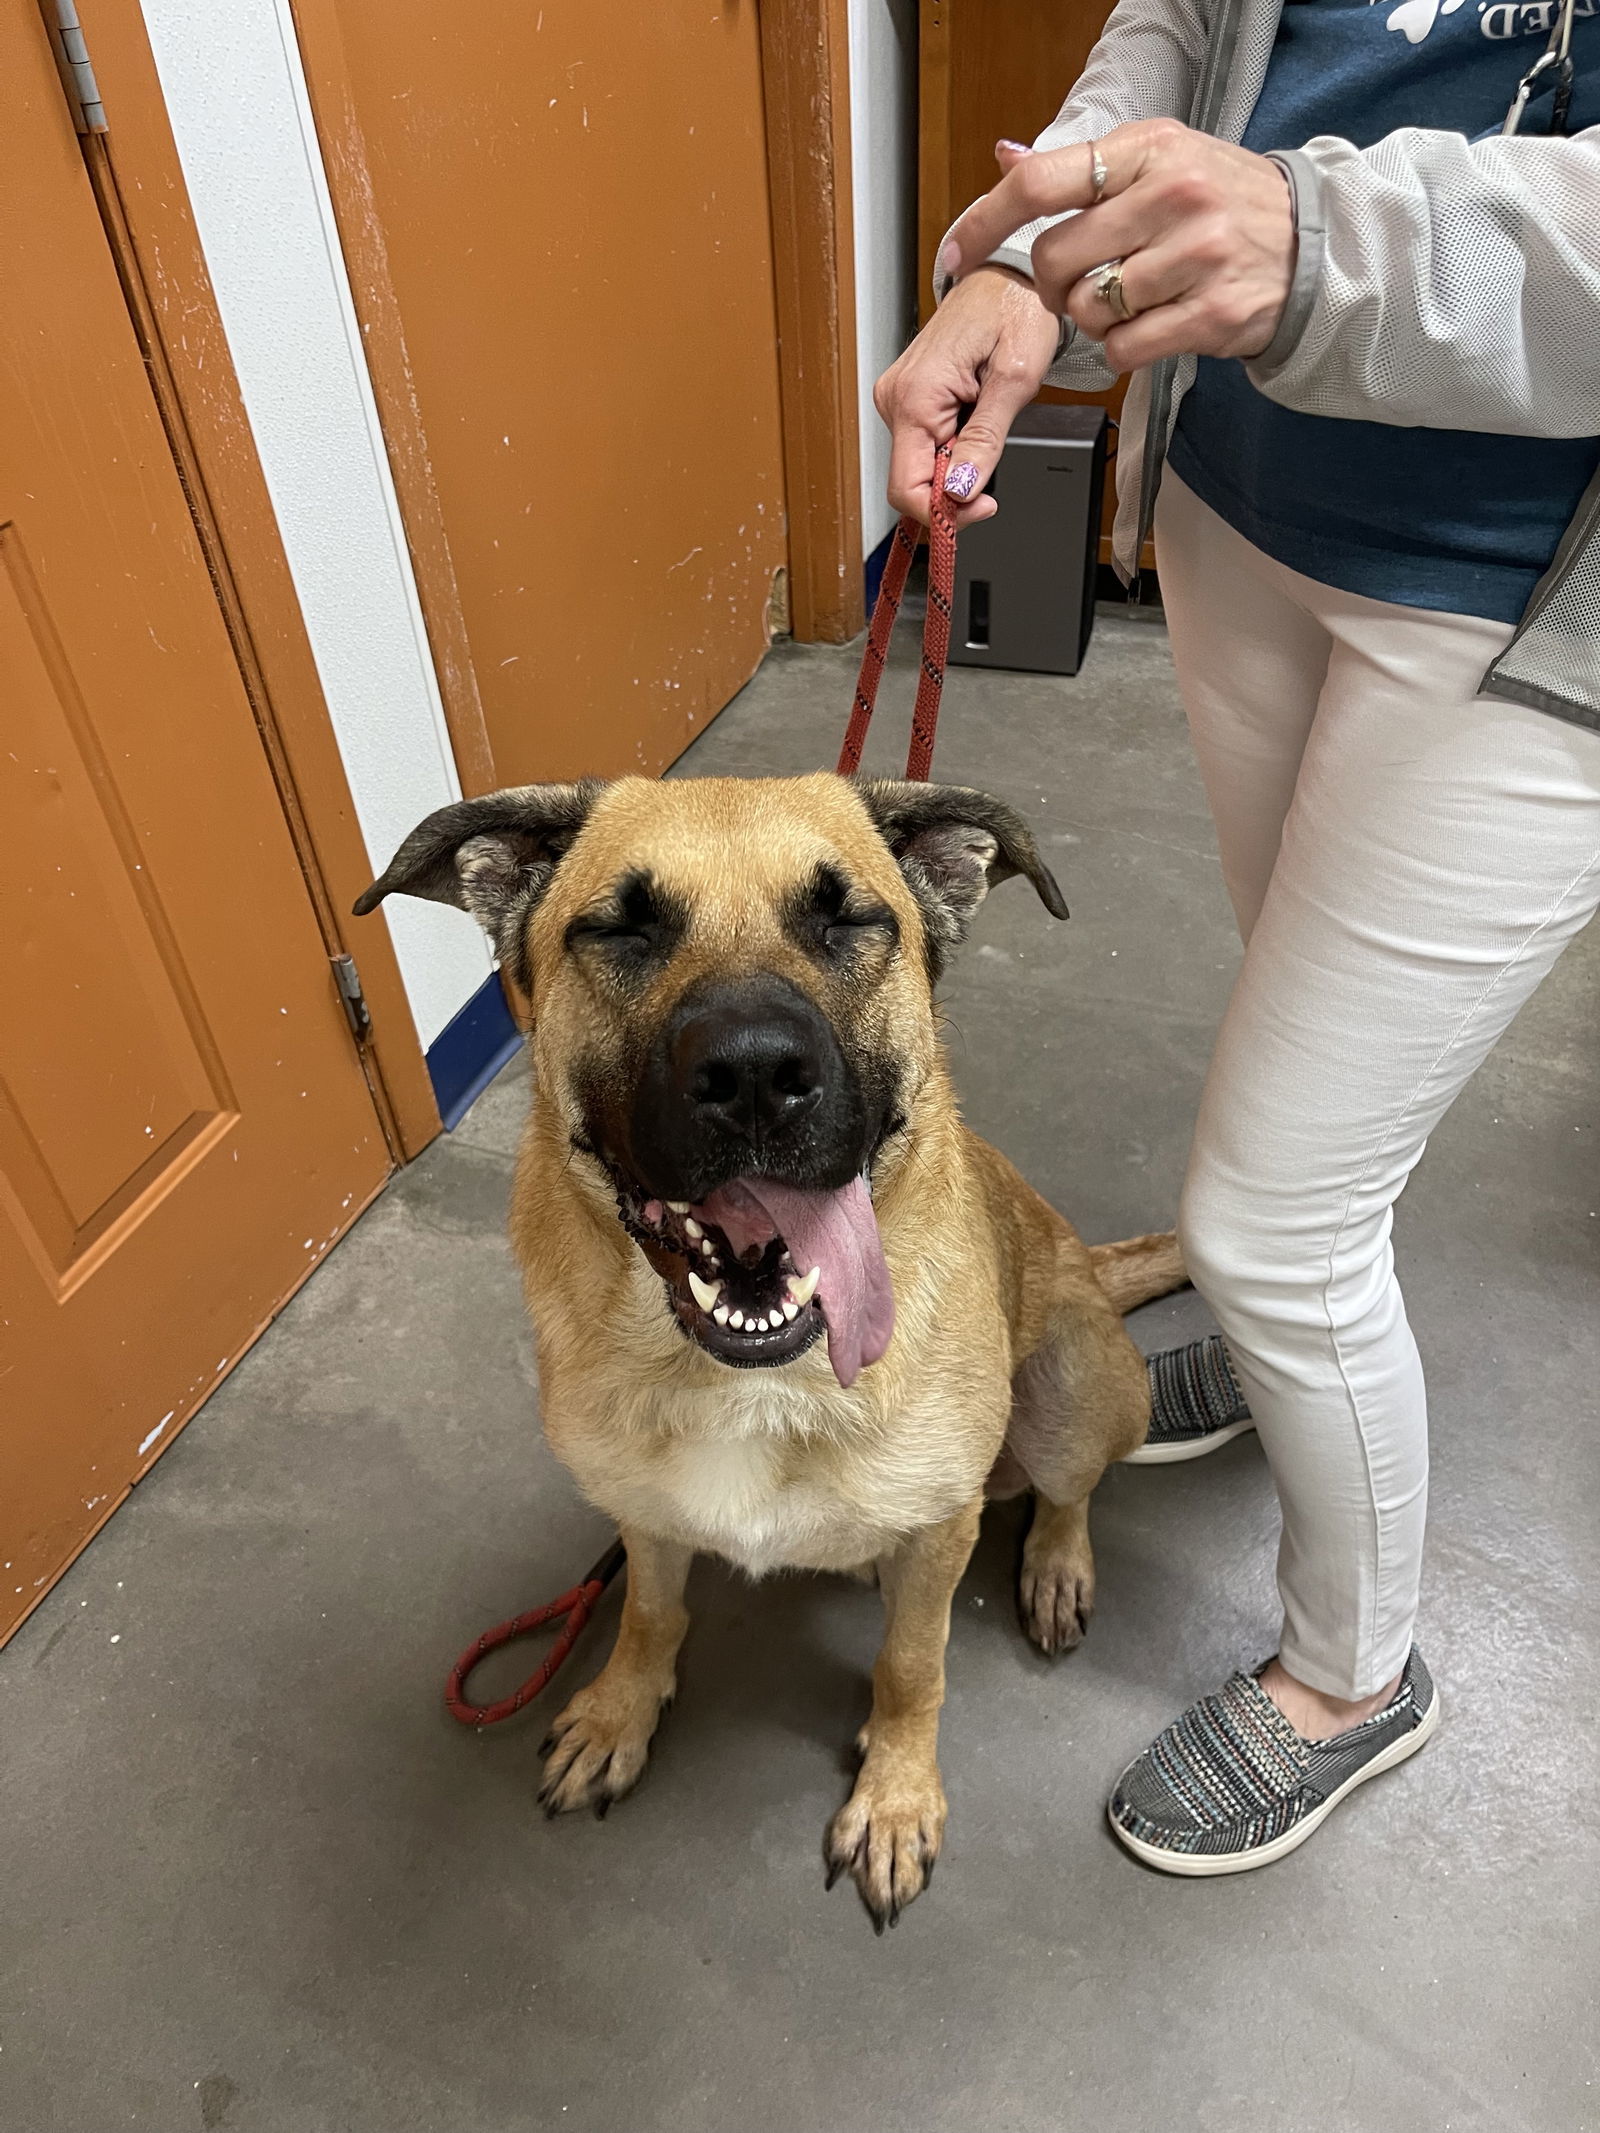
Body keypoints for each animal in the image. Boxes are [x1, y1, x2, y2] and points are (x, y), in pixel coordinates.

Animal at [362, 776, 1194, 1928]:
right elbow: (647, 1611)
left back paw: (1055, 1565)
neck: (745, 1379)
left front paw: (894, 1795)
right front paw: (620, 1711)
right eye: (619, 928)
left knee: (1067, 1491)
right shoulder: (641, 1510)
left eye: (847, 920)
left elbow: (912, 1666)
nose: (754, 1072)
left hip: (1070, 1389)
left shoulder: (941, 1532)